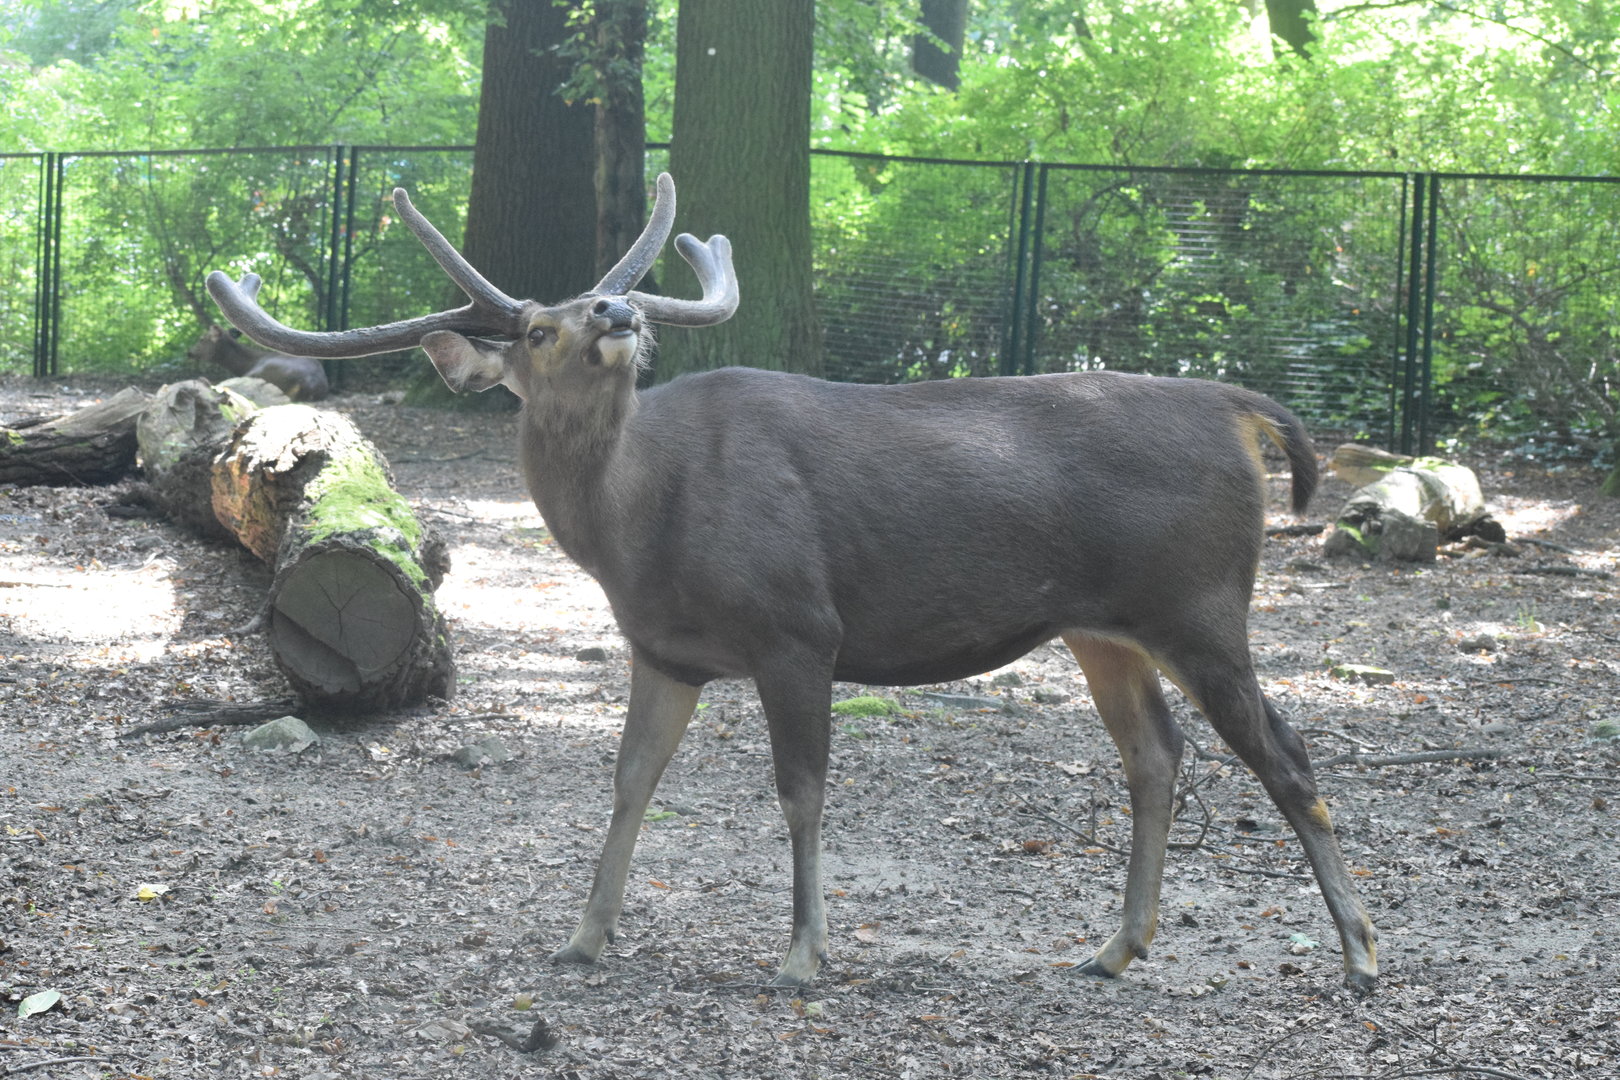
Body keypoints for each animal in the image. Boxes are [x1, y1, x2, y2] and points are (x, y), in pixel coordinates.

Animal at [206, 173, 1378, 995]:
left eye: (586, 308)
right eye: (539, 329)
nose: (619, 308)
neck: (639, 527)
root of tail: (1241, 408)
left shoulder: (797, 628)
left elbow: (800, 791)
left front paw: (804, 954)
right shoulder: (663, 650)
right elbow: (630, 782)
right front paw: (584, 936)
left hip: (1200, 599)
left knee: (1284, 749)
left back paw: (1361, 955)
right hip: (1105, 627)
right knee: (1155, 757)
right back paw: (1113, 948)